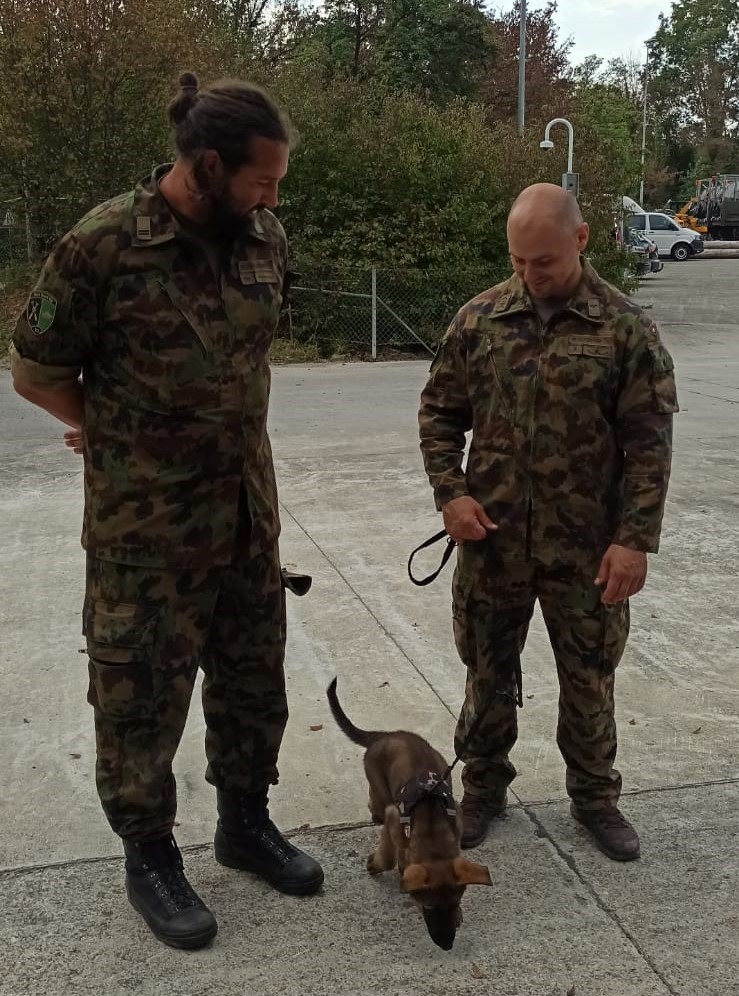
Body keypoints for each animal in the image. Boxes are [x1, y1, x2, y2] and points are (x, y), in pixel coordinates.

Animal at [327, 677, 492, 949]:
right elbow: (389, 856)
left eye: (454, 904)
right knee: (375, 802)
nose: (447, 945)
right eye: (429, 907)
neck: (433, 832)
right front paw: (378, 863)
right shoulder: (394, 816)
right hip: (380, 790)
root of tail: (386, 736)